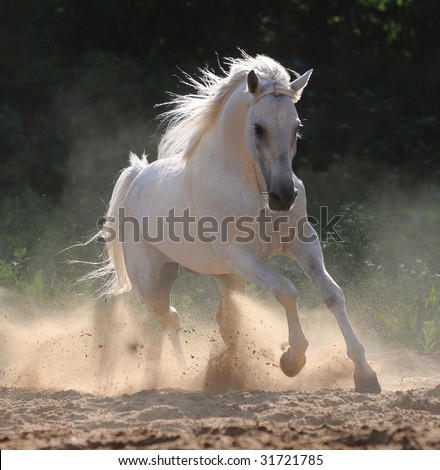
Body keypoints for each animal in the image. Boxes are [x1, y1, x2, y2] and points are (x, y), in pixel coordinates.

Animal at [90, 52, 382, 392]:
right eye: (258, 128)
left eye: (296, 127)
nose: (284, 197)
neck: (254, 188)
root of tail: (137, 177)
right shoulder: (239, 256)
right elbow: (287, 289)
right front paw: (292, 360)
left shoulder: (301, 242)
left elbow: (332, 293)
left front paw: (365, 373)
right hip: (153, 281)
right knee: (170, 318)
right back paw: (180, 374)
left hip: (227, 279)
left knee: (217, 320)